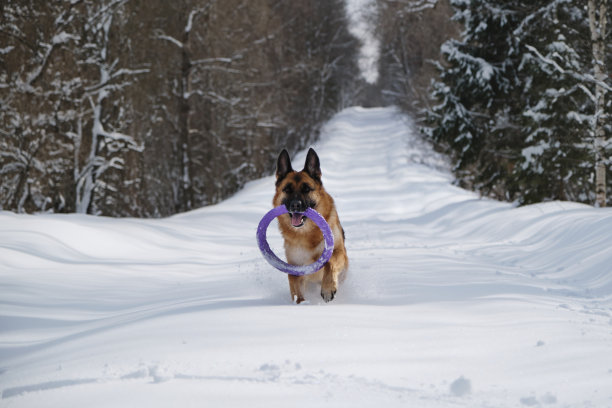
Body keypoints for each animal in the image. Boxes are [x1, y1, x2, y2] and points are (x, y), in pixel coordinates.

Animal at [274, 147, 350, 302]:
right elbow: (297, 293)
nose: (295, 205)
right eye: (287, 189)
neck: (307, 233)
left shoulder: (338, 252)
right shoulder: (295, 269)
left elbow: (329, 263)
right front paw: (301, 304)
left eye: (306, 189)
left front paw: (328, 288)